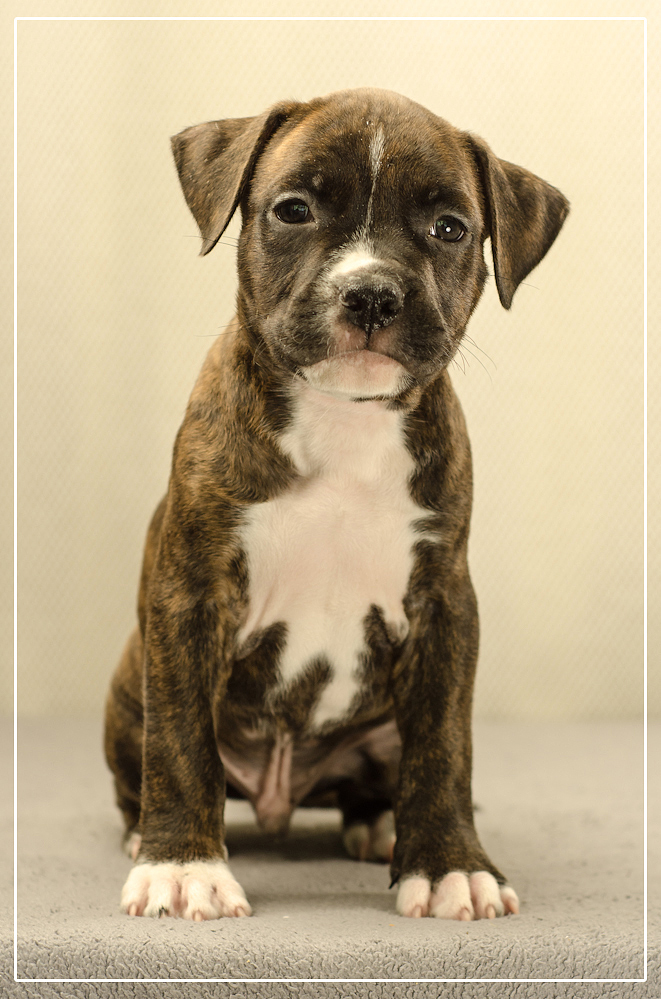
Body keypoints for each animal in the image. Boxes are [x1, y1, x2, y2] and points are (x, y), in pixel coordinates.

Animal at [104, 87, 568, 922]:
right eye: (293, 210)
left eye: (449, 228)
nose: (372, 291)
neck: (343, 418)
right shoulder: (190, 595)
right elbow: (181, 739)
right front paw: (183, 865)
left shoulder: (443, 605)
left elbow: (444, 746)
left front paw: (449, 865)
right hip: (128, 692)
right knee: (148, 762)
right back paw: (141, 833)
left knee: (383, 777)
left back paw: (380, 826)